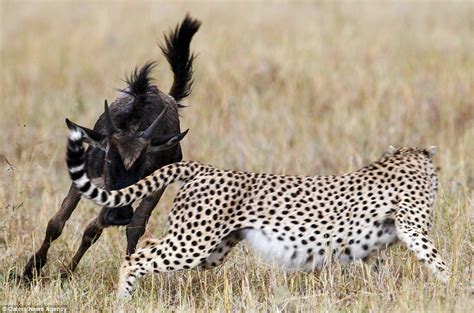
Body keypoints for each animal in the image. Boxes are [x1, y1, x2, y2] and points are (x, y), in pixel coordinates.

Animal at [65, 125, 448, 296]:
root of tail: (204, 167)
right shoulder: (413, 230)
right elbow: (440, 262)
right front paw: (453, 289)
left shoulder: (373, 250)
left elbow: (382, 272)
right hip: (194, 244)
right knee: (136, 257)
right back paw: (123, 299)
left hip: (212, 250)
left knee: (143, 246)